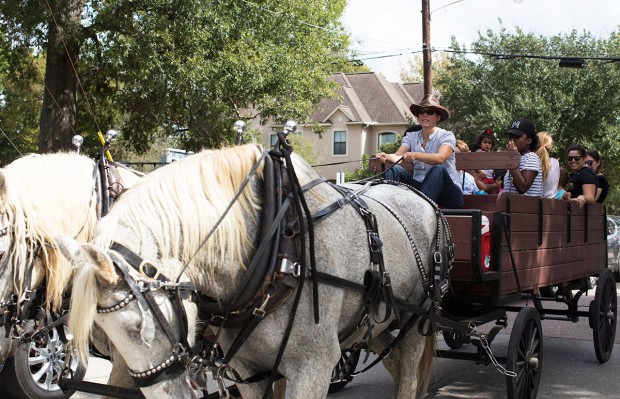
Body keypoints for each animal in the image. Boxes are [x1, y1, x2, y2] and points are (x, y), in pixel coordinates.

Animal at [61, 145, 450, 399]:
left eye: (138, 328)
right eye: (99, 331)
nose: (168, 394)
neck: (280, 250)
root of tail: (419, 196)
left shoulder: (314, 367)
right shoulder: (248, 370)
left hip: (415, 321)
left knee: (407, 376)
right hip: (373, 325)